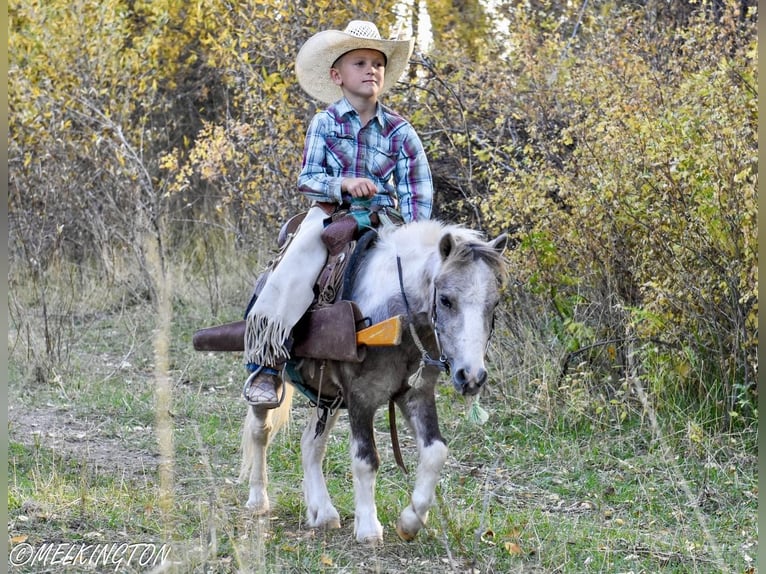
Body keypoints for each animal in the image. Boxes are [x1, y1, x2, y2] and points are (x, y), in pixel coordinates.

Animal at [240, 219, 510, 544]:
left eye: (494, 303)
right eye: (446, 299)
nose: (471, 377)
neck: (394, 321)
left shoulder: (416, 394)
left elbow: (435, 452)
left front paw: (411, 522)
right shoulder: (361, 397)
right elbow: (366, 459)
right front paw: (369, 527)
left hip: (329, 397)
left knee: (311, 444)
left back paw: (323, 512)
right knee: (261, 431)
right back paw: (258, 499)